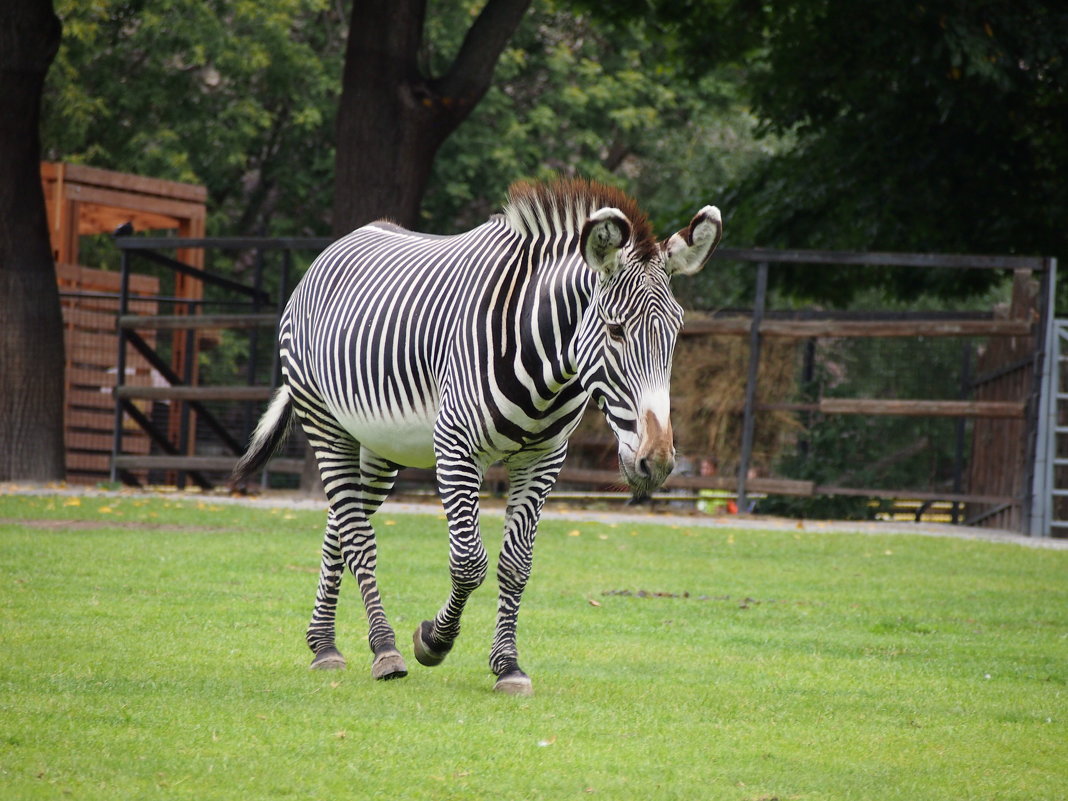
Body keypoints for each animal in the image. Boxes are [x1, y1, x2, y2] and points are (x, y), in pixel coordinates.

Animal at [231, 180, 717, 696]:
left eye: (677, 333)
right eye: (616, 330)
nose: (656, 462)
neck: (546, 360)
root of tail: (337, 247)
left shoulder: (543, 458)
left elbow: (515, 565)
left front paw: (508, 665)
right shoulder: (455, 447)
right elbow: (469, 562)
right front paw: (433, 640)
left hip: (379, 446)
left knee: (340, 525)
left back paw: (324, 643)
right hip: (326, 422)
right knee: (358, 535)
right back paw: (383, 649)